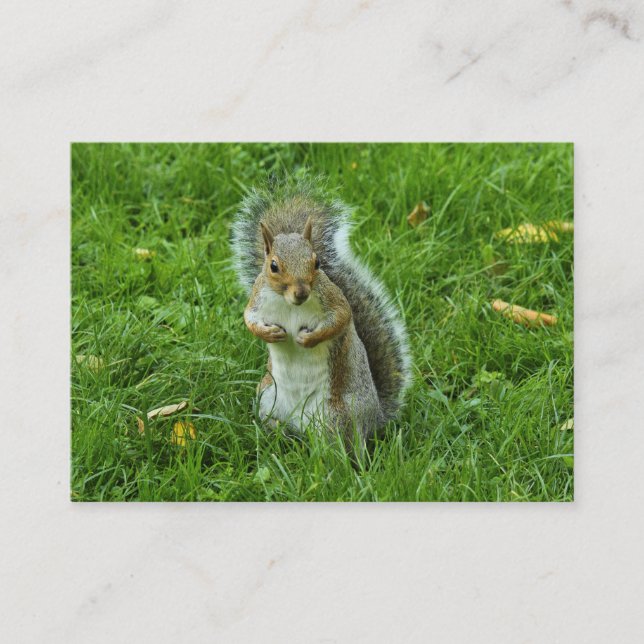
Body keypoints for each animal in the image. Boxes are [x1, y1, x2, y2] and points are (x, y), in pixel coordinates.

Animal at [231, 176, 410, 444]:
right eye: (273, 266)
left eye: (316, 263)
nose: (301, 292)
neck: (289, 303)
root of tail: (375, 417)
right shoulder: (257, 299)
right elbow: (249, 319)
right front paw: (269, 334)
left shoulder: (333, 300)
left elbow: (342, 318)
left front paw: (308, 339)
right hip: (267, 397)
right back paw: (275, 434)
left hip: (338, 416)